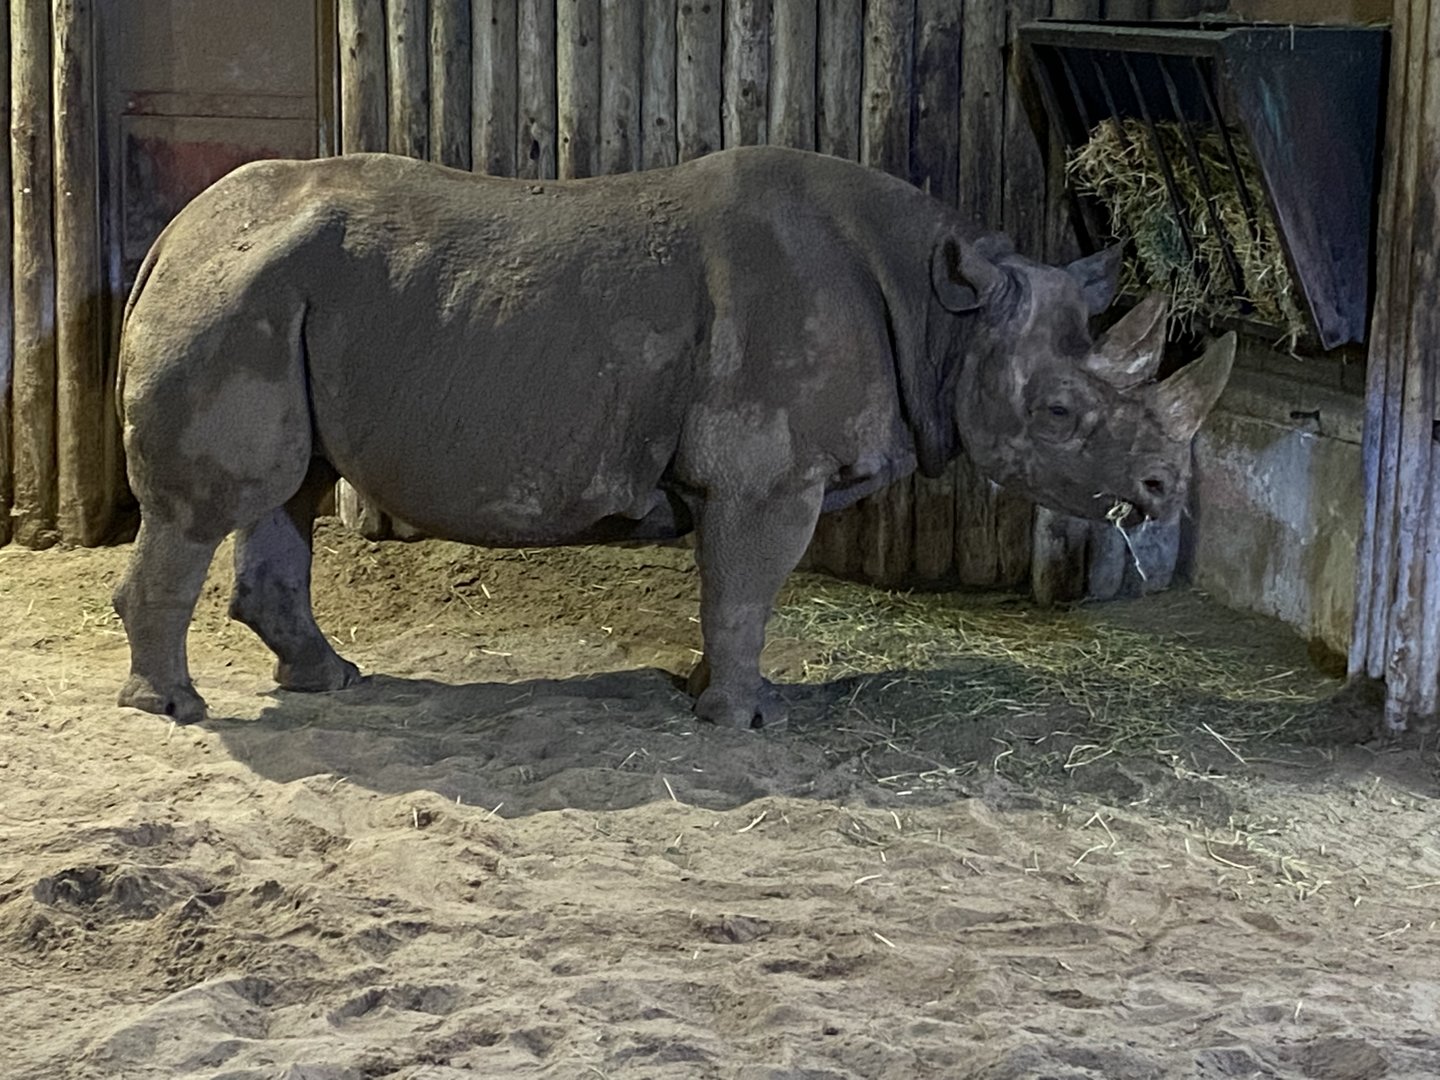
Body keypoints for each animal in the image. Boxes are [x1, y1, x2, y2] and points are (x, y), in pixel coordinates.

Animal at [113, 146, 1234, 729]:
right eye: (1060, 415)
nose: (1164, 492)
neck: (947, 314)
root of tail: (169, 236)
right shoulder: (765, 474)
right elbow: (745, 591)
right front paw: (745, 720)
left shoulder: (755, 475)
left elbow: (735, 593)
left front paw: (712, 695)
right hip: (234, 299)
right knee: (214, 504)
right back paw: (174, 710)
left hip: (266, 292)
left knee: (285, 492)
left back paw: (331, 682)